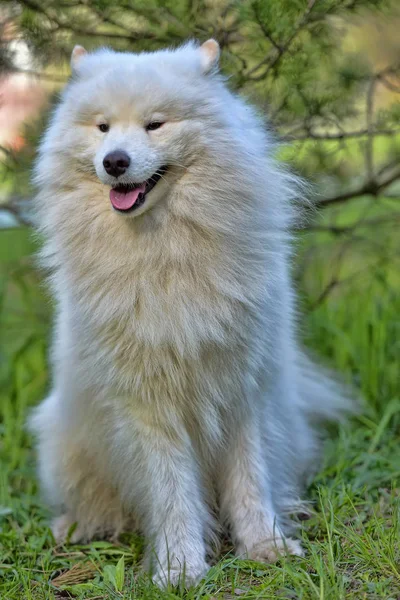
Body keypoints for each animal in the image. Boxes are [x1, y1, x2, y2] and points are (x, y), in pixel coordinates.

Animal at [30, 41, 350, 584]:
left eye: (155, 125)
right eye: (102, 127)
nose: (114, 161)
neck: (166, 252)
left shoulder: (242, 388)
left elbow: (250, 479)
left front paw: (265, 546)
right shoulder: (148, 404)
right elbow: (171, 491)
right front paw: (179, 568)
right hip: (66, 441)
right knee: (92, 501)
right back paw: (75, 527)